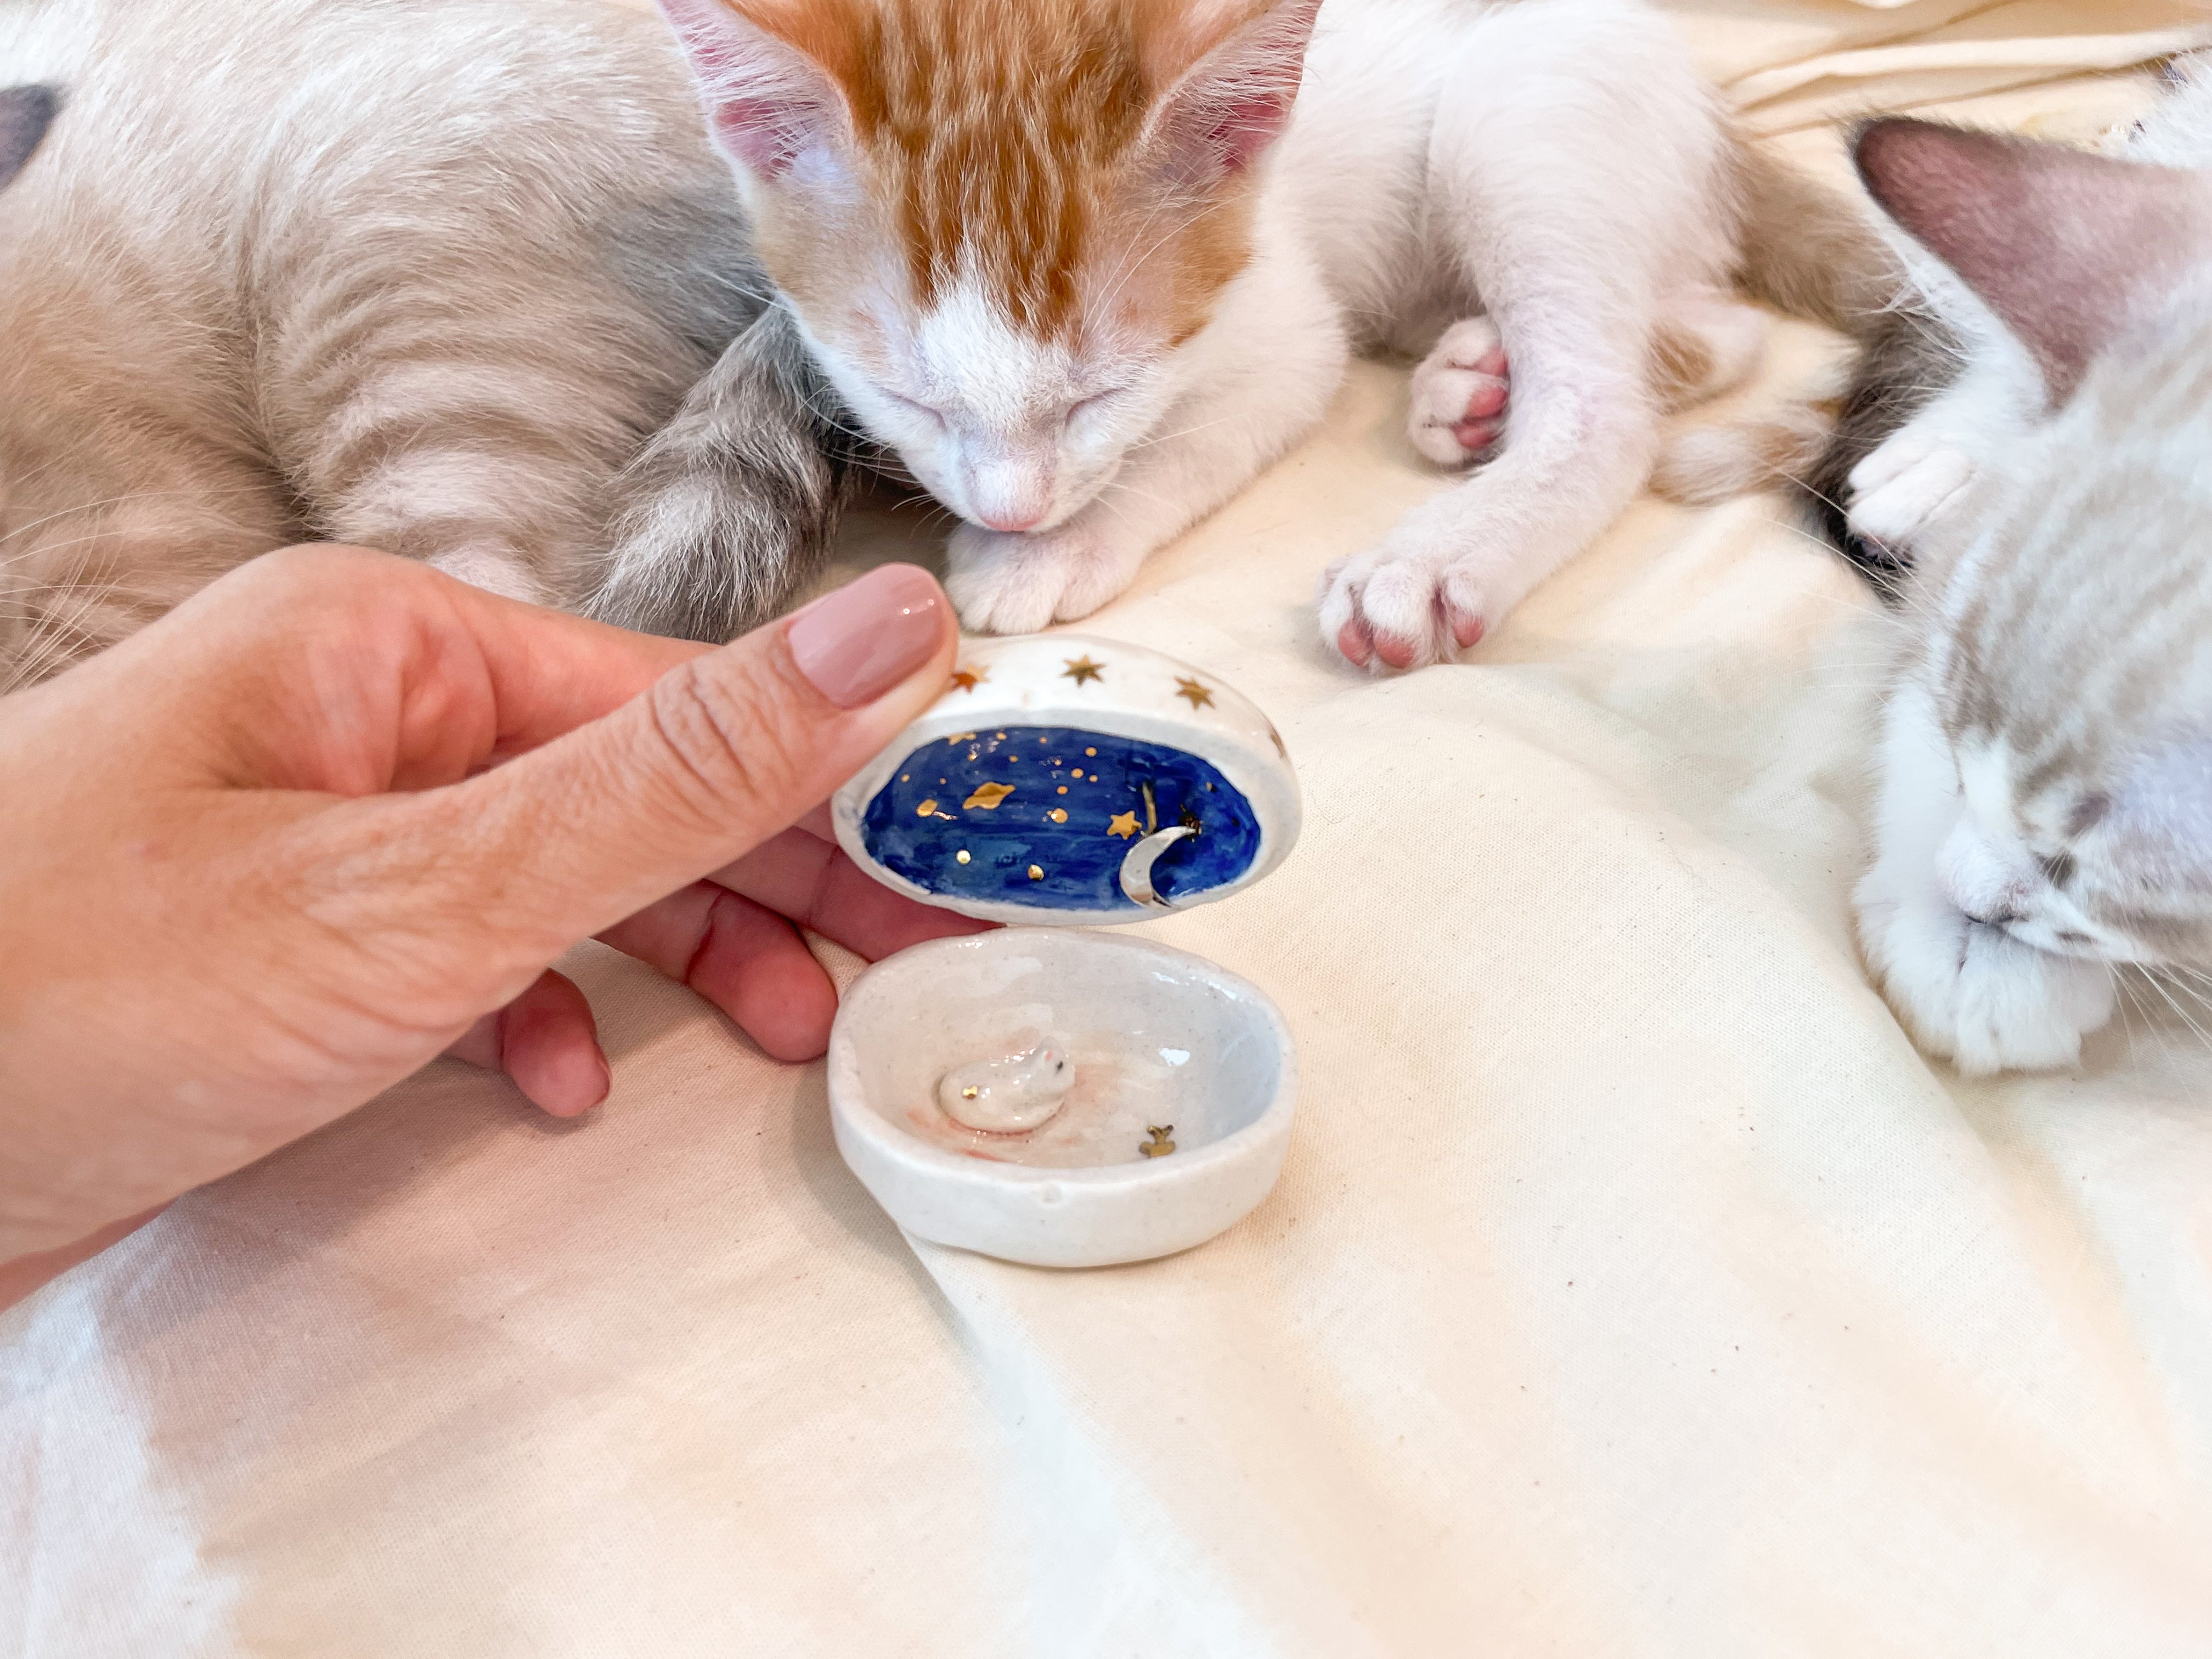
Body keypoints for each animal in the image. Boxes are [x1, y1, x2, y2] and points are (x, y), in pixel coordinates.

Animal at [654, 1, 1884, 676]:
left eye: (1100, 396)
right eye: (905, 398)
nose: (1013, 512)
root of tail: (1720, 115)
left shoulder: (1287, 327)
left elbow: (1188, 441)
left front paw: (1059, 548)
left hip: (1523, 101)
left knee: (1604, 404)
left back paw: (1444, 546)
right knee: (1722, 327)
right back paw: (1478, 381)